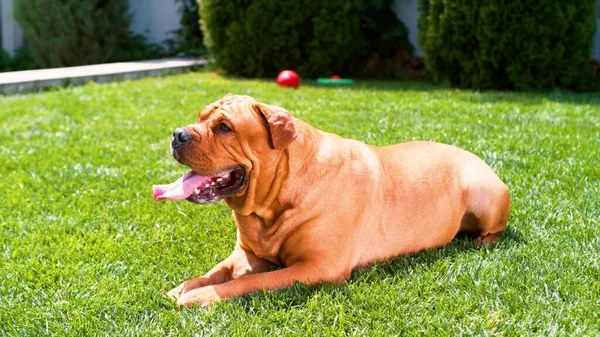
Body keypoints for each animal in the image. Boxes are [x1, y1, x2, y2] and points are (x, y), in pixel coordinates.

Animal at [152, 93, 508, 306]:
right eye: (200, 117)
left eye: (225, 127)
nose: (177, 134)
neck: (274, 199)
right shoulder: (247, 254)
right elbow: (215, 272)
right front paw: (184, 287)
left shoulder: (318, 267)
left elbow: (250, 283)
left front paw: (199, 297)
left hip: (484, 193)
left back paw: (483, 241)